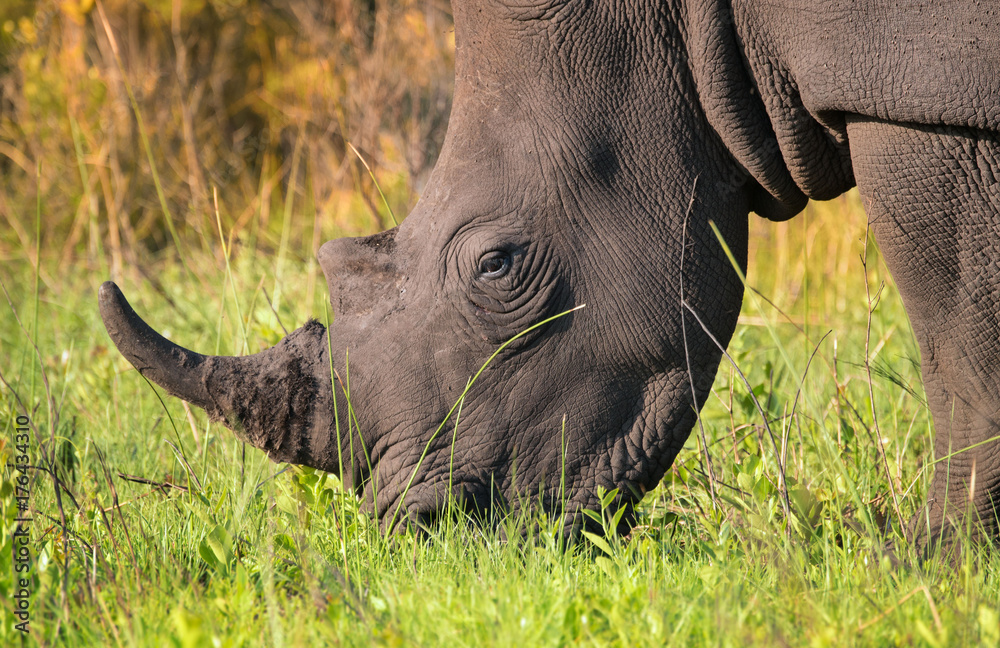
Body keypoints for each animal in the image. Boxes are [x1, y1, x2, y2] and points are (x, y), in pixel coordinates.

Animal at [100, 0, 1000, 546]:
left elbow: (959, 349)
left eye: (497, 266)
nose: (422, 536)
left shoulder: (910, 82)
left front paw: (934, 567)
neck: (675, 21)